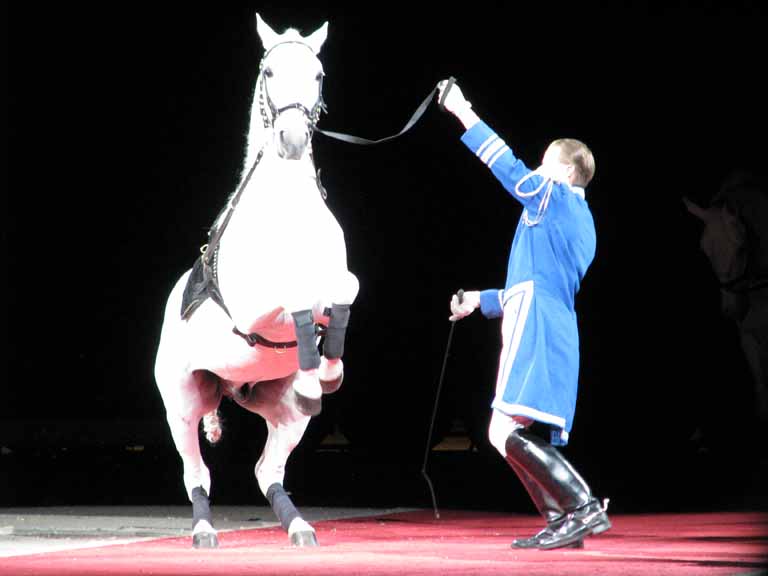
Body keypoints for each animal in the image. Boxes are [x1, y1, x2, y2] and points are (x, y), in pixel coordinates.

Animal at [158, 12, 362, 544]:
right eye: (269, 72)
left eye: (318, 74)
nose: (291, 140)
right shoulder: (253, 310)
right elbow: (296, 300)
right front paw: (319, 364)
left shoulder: (340, 280)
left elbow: (341, 294)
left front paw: (327, 370)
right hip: (183, 402)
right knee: (195, 472)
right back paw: (204, 530)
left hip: (283, 413)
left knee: (267, 470)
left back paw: (299, 526)